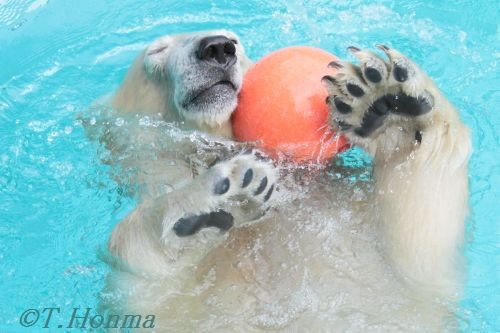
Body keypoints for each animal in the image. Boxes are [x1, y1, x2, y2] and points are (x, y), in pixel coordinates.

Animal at [87, 29, 472, 330]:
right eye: (157, 51)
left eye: (236, 42)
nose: (217, 47)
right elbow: (150, 277)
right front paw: (221, 196)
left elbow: (419, 230)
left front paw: (385, 99)